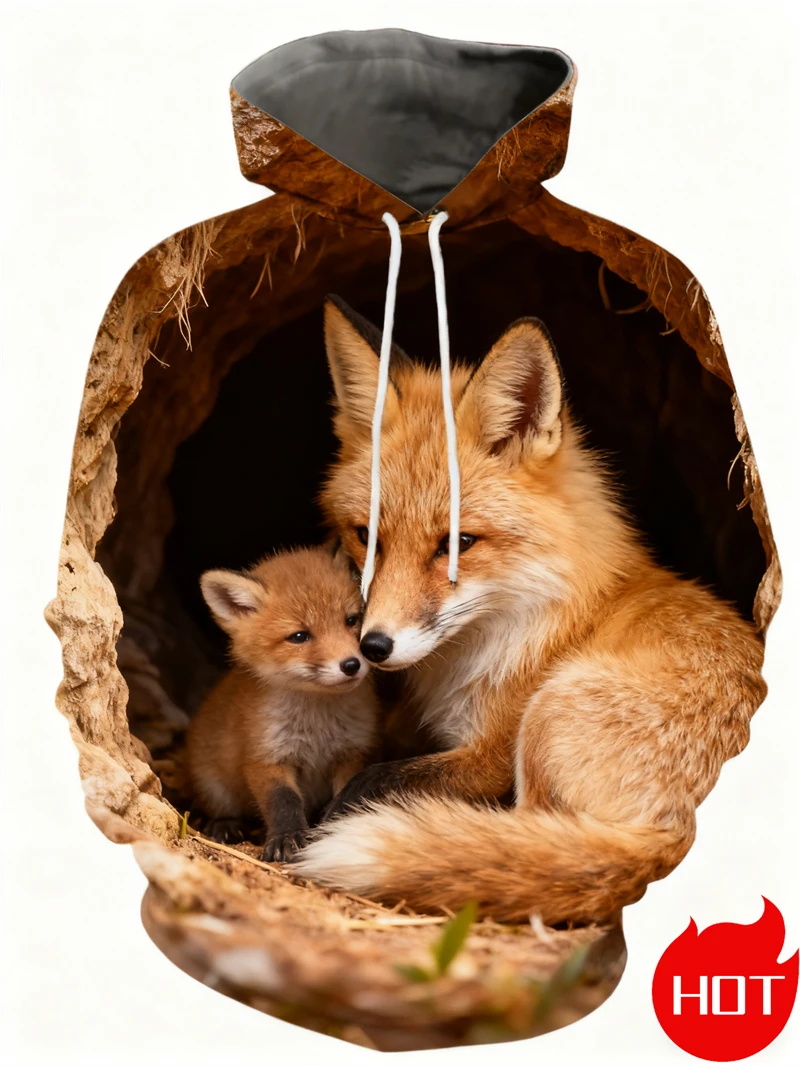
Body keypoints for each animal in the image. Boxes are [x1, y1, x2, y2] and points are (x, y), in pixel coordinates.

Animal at [186, 546, 378, 862]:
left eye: (351, 620)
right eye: (299, 636)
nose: (351, 665)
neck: (318, 725)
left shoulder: (352, 752)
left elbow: (347, 794)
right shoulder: (267, 755)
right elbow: (282, 801)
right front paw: (287, 838)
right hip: (213, 783)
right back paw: (225, 825)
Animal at [293, 296, 767, 923]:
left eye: (458, 543)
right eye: (366, 536)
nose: (374, 647)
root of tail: (682, 839)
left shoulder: (489, 755)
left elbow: (377, 781)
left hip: (550, 714)